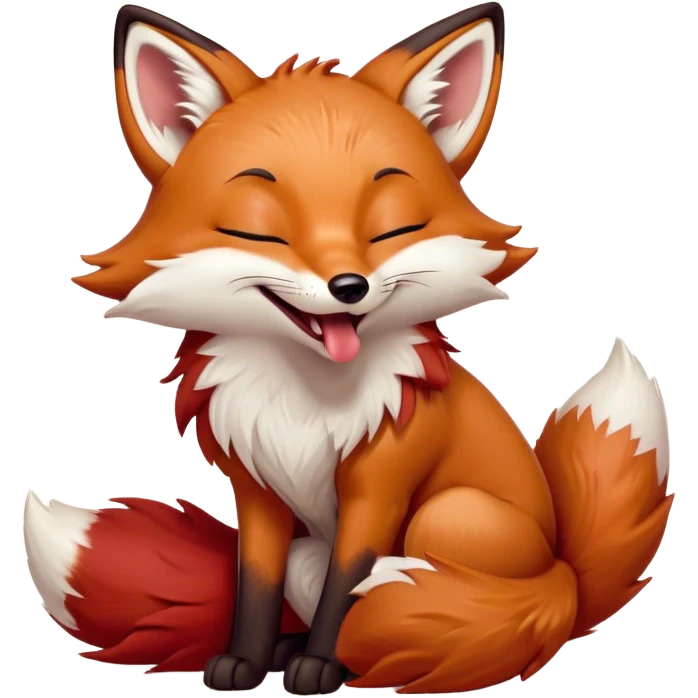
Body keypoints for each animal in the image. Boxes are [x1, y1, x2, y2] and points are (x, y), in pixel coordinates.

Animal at [22, 2, 673, 696]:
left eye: (392, 228)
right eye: (261, 231)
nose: (349, 287)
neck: (303, 404)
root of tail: (566, 587)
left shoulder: (378, 487)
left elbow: (349, 586)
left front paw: (321, 666)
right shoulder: (257, 492)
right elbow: (254, 586)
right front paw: (244, 662)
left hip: (449, 515)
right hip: (316, 547)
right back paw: (290, 648)